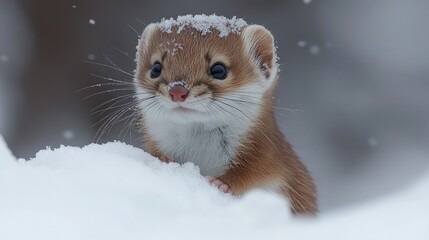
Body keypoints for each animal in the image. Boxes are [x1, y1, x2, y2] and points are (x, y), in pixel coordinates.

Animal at [134, 14, 318, 215]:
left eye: (218, 69)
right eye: (156, 68)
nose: (177, 91)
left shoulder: (271, 160)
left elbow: (256, 171)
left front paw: (221, 183)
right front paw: (164, 160)